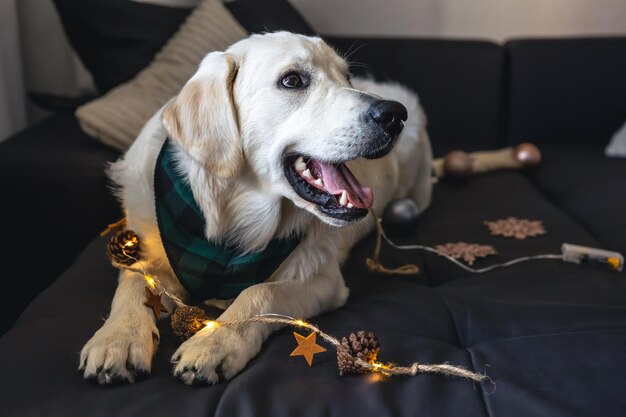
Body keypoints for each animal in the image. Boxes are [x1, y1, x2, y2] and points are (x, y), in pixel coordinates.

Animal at [77, 30, 428, 386]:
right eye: (293, 80)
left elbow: (260, 292)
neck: (230, 216)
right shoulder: (149, 248)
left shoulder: (325, 279)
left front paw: (214, 343)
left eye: (347, 77)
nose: (394, 115)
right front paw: (117, 338)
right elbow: (134, 282)